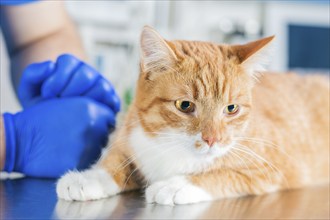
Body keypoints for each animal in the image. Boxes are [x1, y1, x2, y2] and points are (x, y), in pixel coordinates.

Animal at [56, 26, 328, 206]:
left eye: (231, 108)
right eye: (185, 105)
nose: (212, 139)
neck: (172, 148)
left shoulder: (272, 171)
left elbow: (223, 175)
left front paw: (176, 185)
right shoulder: (129, 136)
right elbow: (114, 159)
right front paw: (89, 177)